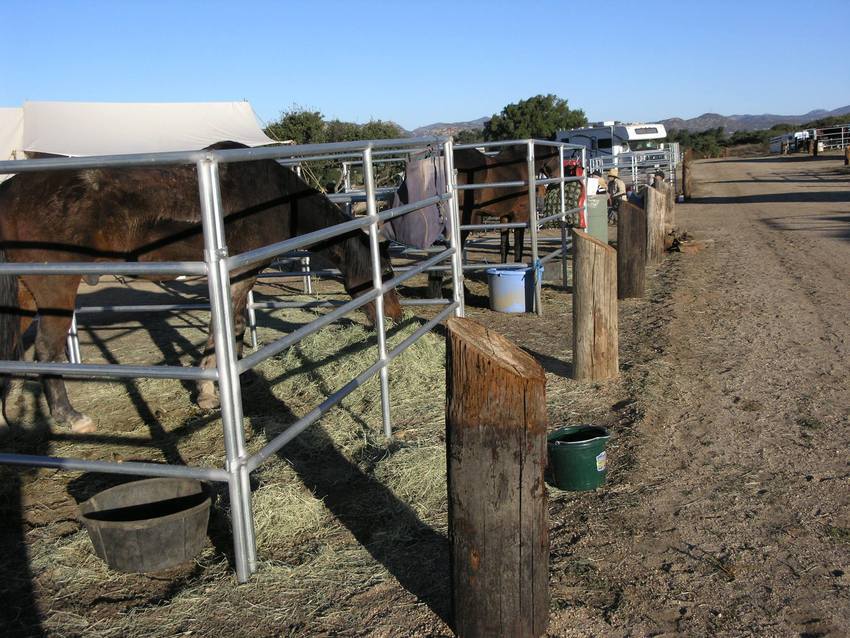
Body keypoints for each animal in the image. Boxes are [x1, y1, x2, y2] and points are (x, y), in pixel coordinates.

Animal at [0, 143, 402, 438]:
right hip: (56, 289)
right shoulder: (238, 275)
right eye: (386, 271)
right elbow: (228, 329)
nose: (396, 317)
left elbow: (224, 330)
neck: (272, 196)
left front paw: (220, 385)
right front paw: (216, 393)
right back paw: (71, 417)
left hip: (25, 294)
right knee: (47, 349)